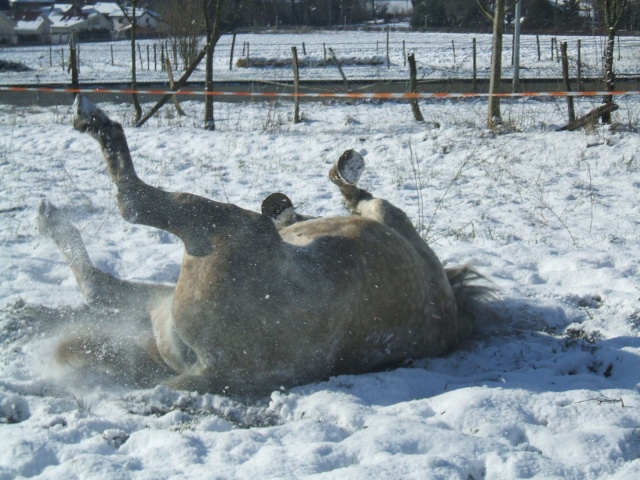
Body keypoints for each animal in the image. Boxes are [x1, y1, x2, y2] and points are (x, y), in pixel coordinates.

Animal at [37, 96, 492, 398]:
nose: (274, 204)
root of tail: (212, 368)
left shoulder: (385, 215)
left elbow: (357, 193)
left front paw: (343, 170)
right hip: (163, 304)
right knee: (98, 286)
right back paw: (54, 217)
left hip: (220, 233)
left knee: (132, 204)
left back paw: (90, 124)